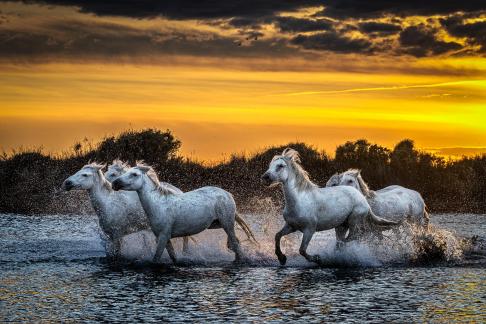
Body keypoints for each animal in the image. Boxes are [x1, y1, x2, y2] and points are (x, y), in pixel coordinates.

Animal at [111, 162, 256, 264]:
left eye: (134, 174)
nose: (115, 184)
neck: (158, 204)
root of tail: (227, 194)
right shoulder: (162, 236)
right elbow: (173, 256)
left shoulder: (163, 236)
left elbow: (156, 258)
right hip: (218, 224)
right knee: (235, 243)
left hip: (227, 223)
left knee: (236, 243)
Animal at [262, 149, 398, 266]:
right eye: (270, 165)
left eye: (280, 165)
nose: (265, 177)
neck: (299, 201)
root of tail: (362, 198)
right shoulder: (291, 226)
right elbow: (277, 236)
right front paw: (282, 258)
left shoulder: (309, 229)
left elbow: (302, 250)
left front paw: (318, 259)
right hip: (342, 225)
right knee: (344, 240)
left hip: (354, 221)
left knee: (352, 238)